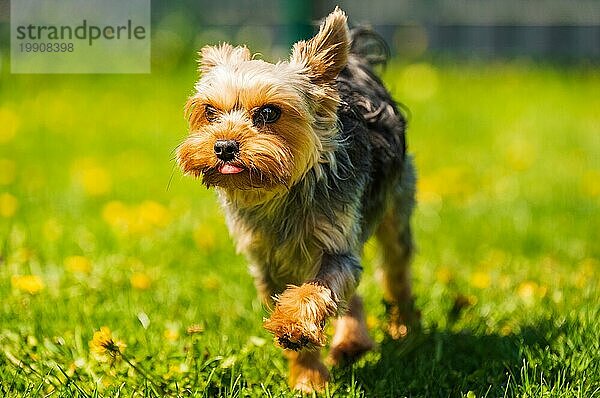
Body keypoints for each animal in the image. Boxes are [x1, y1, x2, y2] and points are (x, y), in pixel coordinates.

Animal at [176, 8, 414, 392]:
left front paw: (292, 328)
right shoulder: (266, 262)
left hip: (396, 202)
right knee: (354, 295)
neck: (279, 194)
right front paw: (308, 379)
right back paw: (351, 343)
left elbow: (315, 292)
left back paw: (406, 329)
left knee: (396, 269)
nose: (223, 146)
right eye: (210, 112)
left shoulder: (335, 245)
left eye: (269, 113)